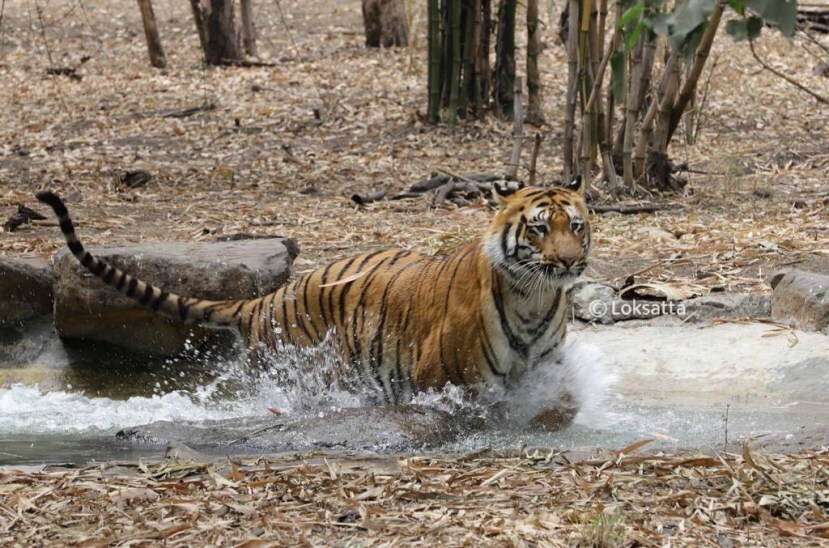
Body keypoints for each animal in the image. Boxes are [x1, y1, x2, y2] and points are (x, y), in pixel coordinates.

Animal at [37, 180, 588, 424]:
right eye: (539, 229)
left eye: (577, 226)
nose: (568, 262)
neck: (534, 299)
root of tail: (266, 298)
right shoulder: (444, 378)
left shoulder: (547, 367)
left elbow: (560, 399)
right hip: (313, 373)